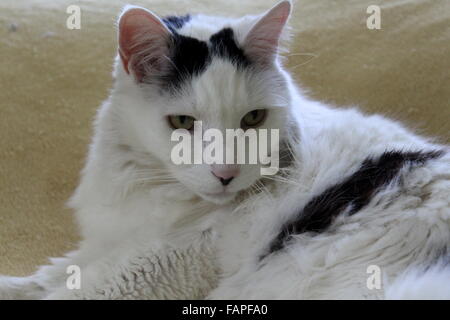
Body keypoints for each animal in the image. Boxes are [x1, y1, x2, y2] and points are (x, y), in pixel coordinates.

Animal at [0, 0, 448, 300]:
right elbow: (52, 275)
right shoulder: (110, 242)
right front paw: (17, 285)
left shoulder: (164, 259)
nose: (226, 174)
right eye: (183, 123)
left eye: (253, 118)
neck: (148, 182)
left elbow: (80, 289)